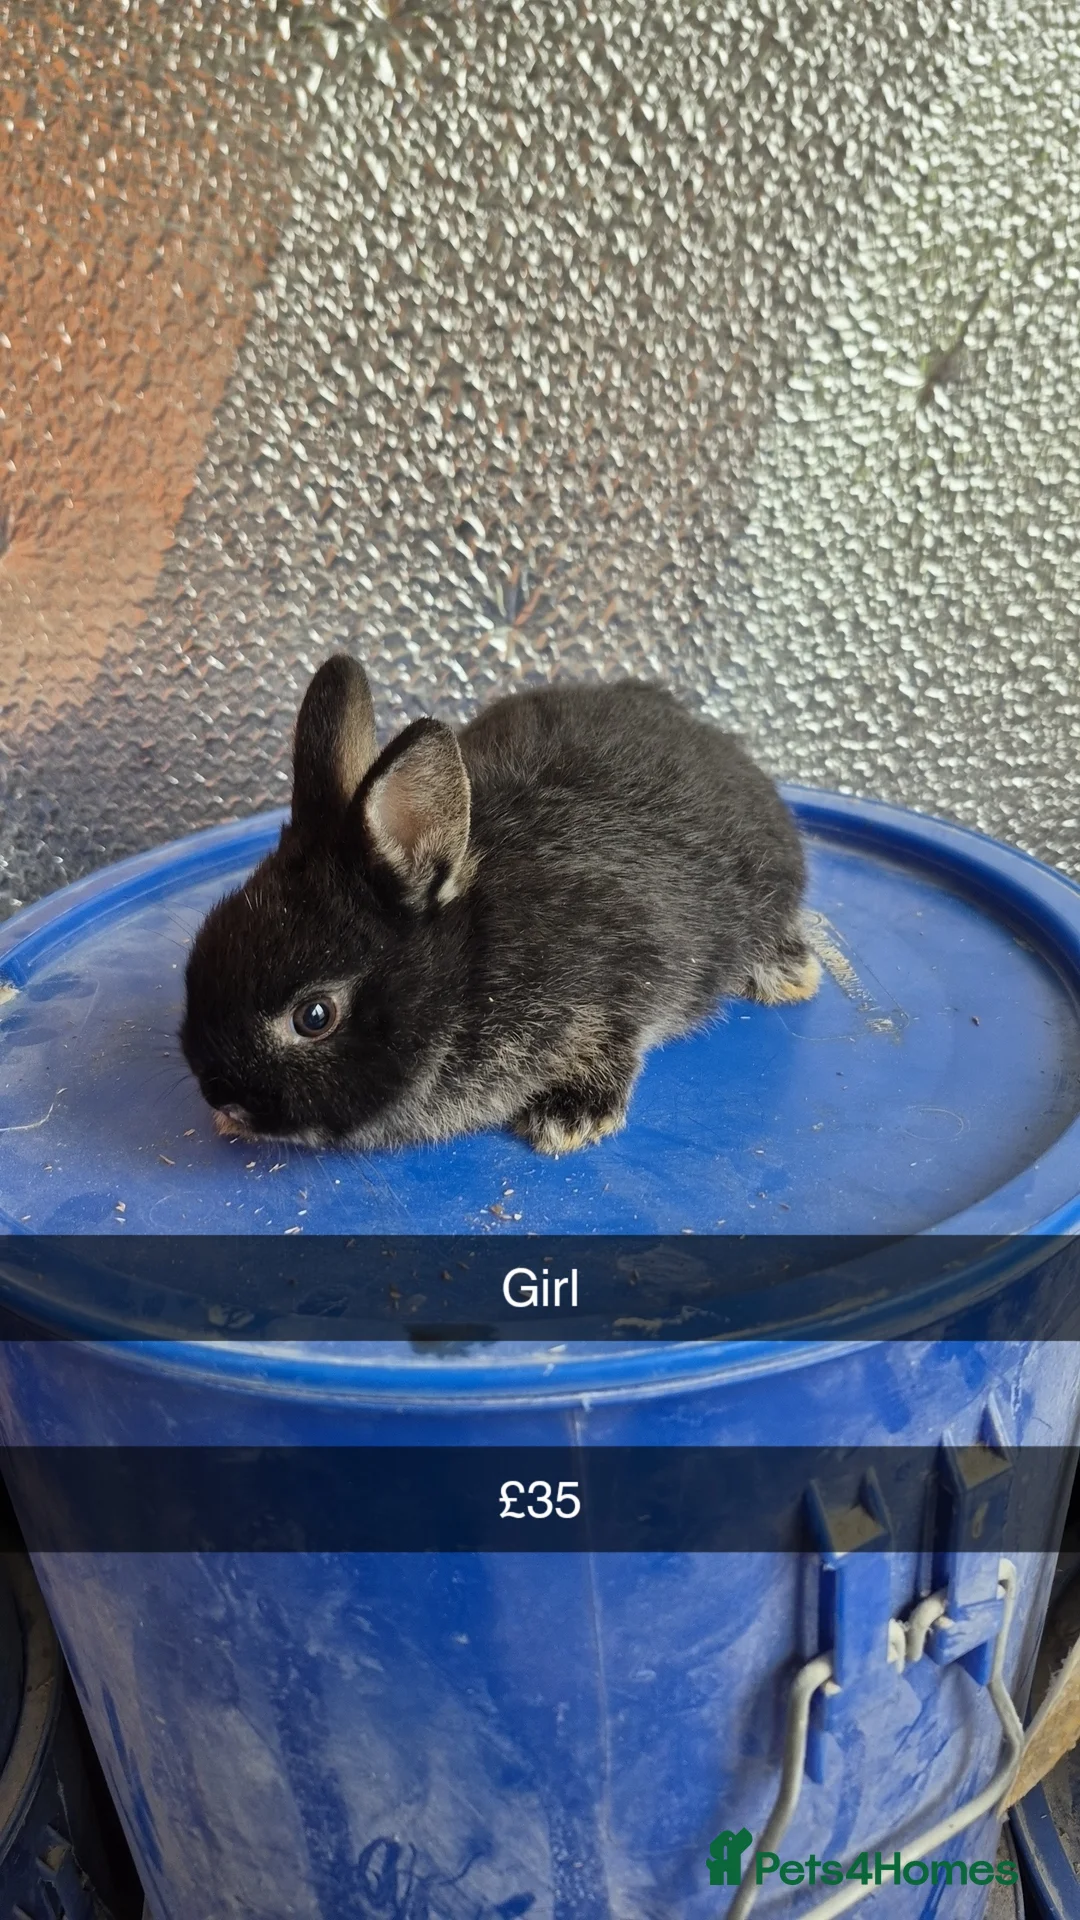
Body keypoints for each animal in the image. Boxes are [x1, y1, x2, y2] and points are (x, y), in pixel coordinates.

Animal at [179, 654, 821, 1153]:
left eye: (314, 1016)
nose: (221, 1099)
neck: (471, 960)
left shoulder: (622, 981)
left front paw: (570, 1119)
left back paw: (791, 974)